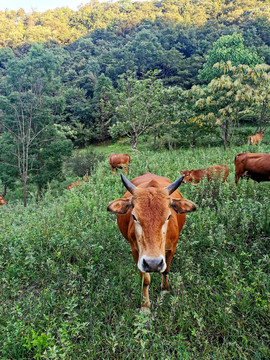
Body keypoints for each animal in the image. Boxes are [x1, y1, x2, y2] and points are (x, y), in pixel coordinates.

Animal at [106, 172, 197, 310]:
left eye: (168, 216)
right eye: (134, 216)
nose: (153, 263)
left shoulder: (172, 249)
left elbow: (166, 270)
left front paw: (165, 289)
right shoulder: (136, 252)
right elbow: (145, 280)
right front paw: (145, 306)